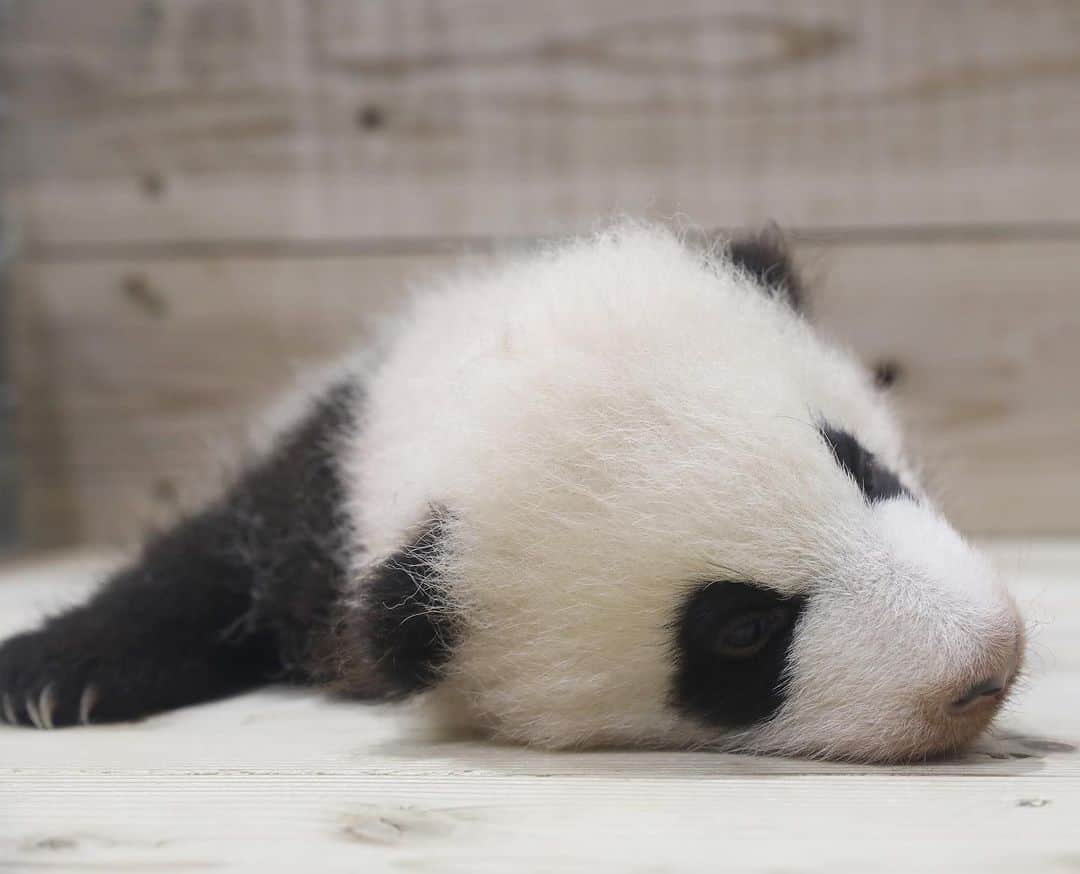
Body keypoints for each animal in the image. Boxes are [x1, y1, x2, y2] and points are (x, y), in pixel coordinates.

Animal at [0, 224, 1024, 763]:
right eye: (741, 628)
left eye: (862, 465)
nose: (989, 665)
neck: (446, 382)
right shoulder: (319, 482)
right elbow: (206, 560)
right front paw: (50, 676)